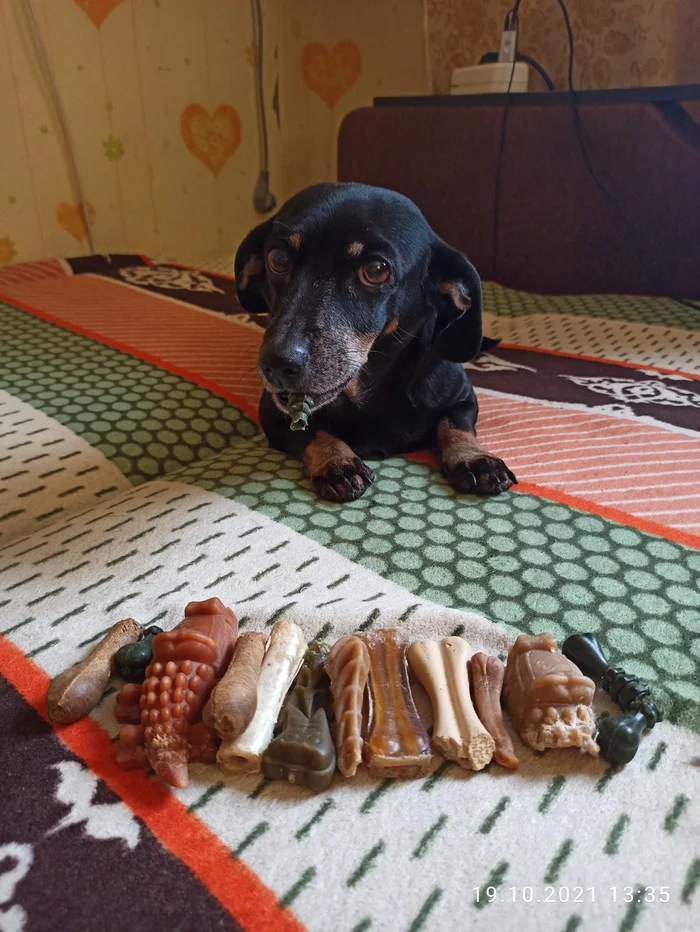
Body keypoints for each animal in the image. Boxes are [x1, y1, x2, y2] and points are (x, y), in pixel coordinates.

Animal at [235, 182, 516, 502]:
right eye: (278, 259)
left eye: (375, 270)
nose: (277, 364)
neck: (370, 389)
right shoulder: (272, 413)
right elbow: (311, 431)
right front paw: (337, 461)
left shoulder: (464, 398)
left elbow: (455, 425)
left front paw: (473, 457)